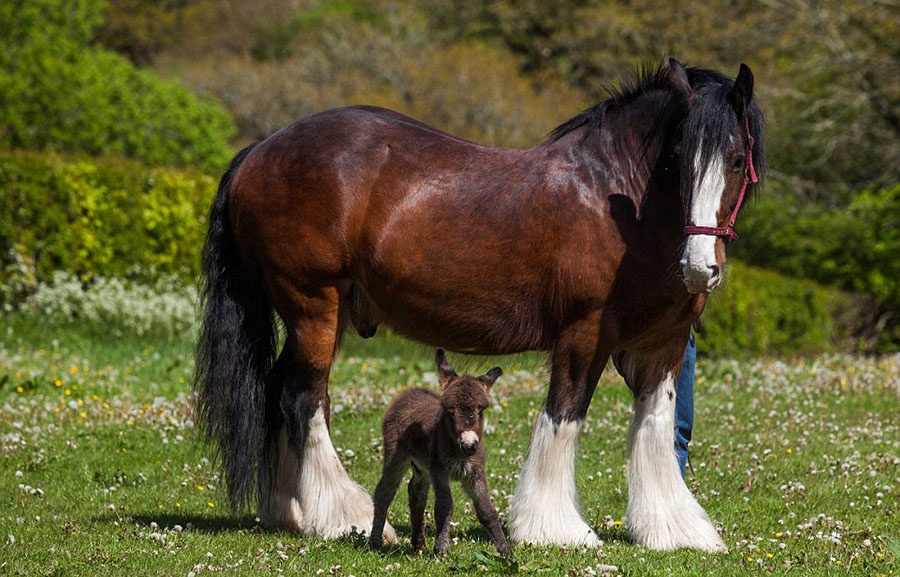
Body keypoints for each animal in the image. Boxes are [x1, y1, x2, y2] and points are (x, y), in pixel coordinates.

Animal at [370, 348, 512, 556]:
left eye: (480, 411)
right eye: (450, 412)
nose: (469, 445)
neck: (459, 452)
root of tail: (410, 392)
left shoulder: (476, 473)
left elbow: (487, 510)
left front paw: (506, 552)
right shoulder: (440, 471)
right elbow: (445, 507)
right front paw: (442, 549)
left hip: (423, 467)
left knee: (416, 492)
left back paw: (419, 544)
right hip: (397, 455)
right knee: (384, 492)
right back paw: (375, 542)